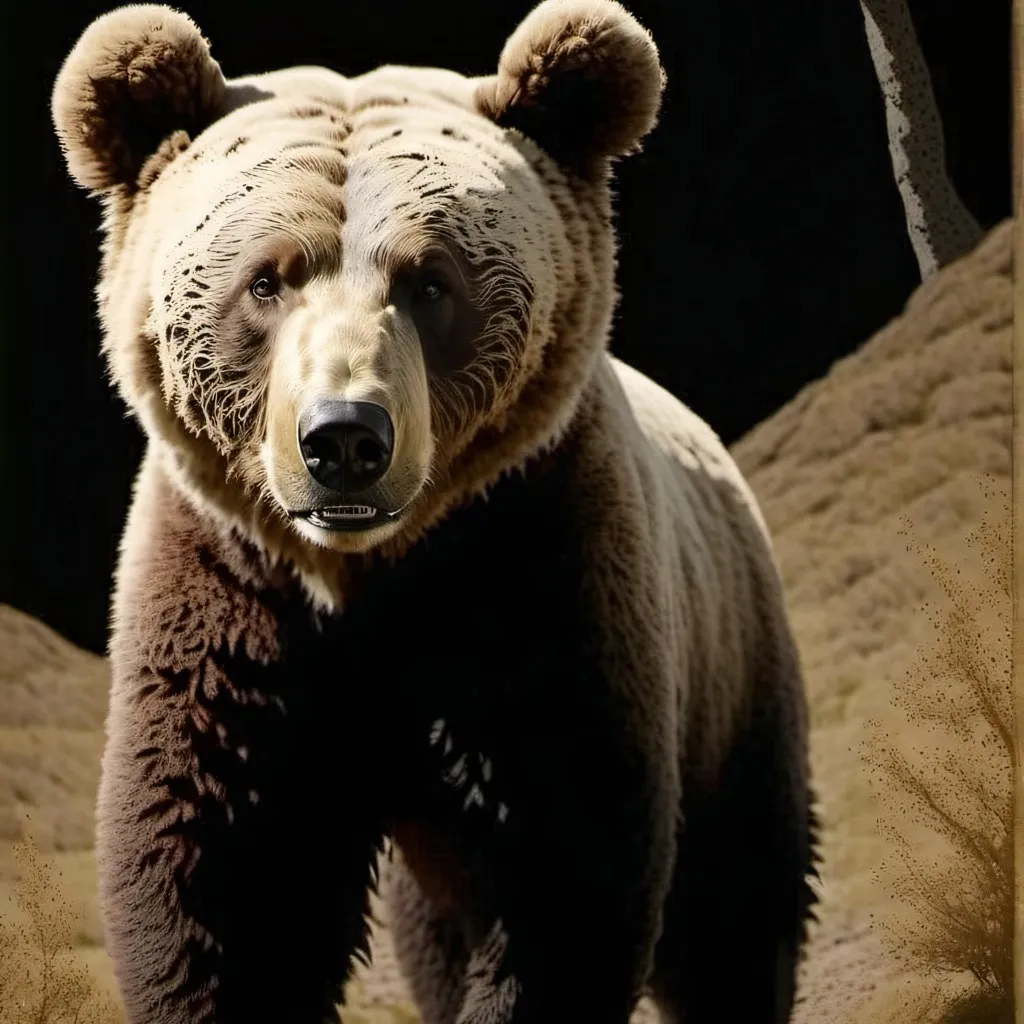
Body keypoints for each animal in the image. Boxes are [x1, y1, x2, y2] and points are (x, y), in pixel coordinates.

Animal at [51, 2, 819, 1022]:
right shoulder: (230, 602)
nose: (343, 438)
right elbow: (225, 883)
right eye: (266, 279)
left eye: (430, 281)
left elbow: (561, 867)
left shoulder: (539, 563)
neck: (371, 578)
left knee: (738, 899)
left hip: (732, 659)